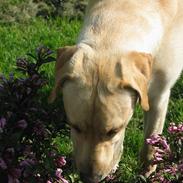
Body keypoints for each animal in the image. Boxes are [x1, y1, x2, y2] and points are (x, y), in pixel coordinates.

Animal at [49, 0, 183, 182]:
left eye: (113, 131)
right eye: (75, 127)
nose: (89, 179)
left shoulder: (158, 96)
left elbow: (150, 142)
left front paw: (146, 172)